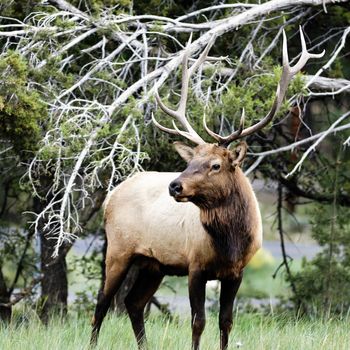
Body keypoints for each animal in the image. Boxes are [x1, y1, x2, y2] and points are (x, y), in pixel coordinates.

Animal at [91, 30, 324, 350]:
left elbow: (226, 322)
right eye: (190, 162)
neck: (230, 242)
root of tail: (111, 196)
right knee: (102, 302)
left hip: (153, 263)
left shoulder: (236, 272)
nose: (174, 185)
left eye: (215, 165)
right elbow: (198, 322)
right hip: (119, 249)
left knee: (133, 303)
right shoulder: (196, 266)